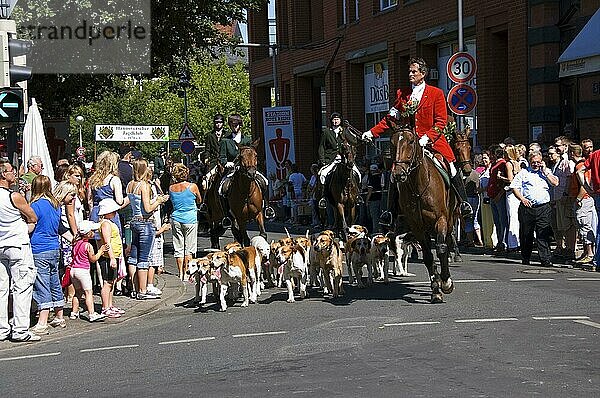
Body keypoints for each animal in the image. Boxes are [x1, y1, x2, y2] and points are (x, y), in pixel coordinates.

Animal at [392, 127, 458, 304]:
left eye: (411, 141)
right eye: (392, 142)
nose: (398, 174)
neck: (418, 187)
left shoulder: (441, 219)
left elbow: (441, 248)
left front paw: (446, 282)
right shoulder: (417, 226)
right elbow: (428, 256)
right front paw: (436, 290)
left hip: (450, 221)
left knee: (447, 242)